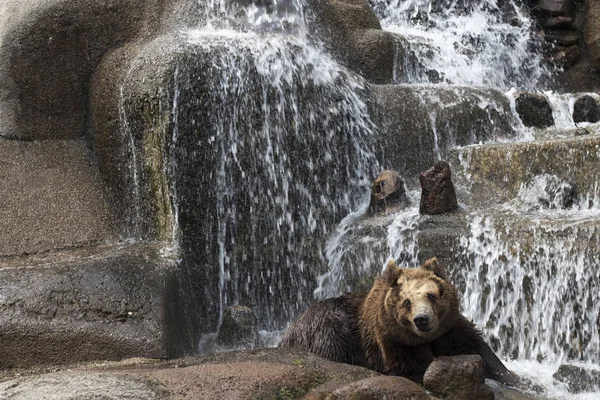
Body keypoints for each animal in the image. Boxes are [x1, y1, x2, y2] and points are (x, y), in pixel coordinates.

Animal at [278, 258, 516, 386]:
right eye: (406, 301)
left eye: (431, 295)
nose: (422, 320)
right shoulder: (390, 344)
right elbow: (409, 369)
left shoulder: (451, 331)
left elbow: (480, 350)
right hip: (327, 327)